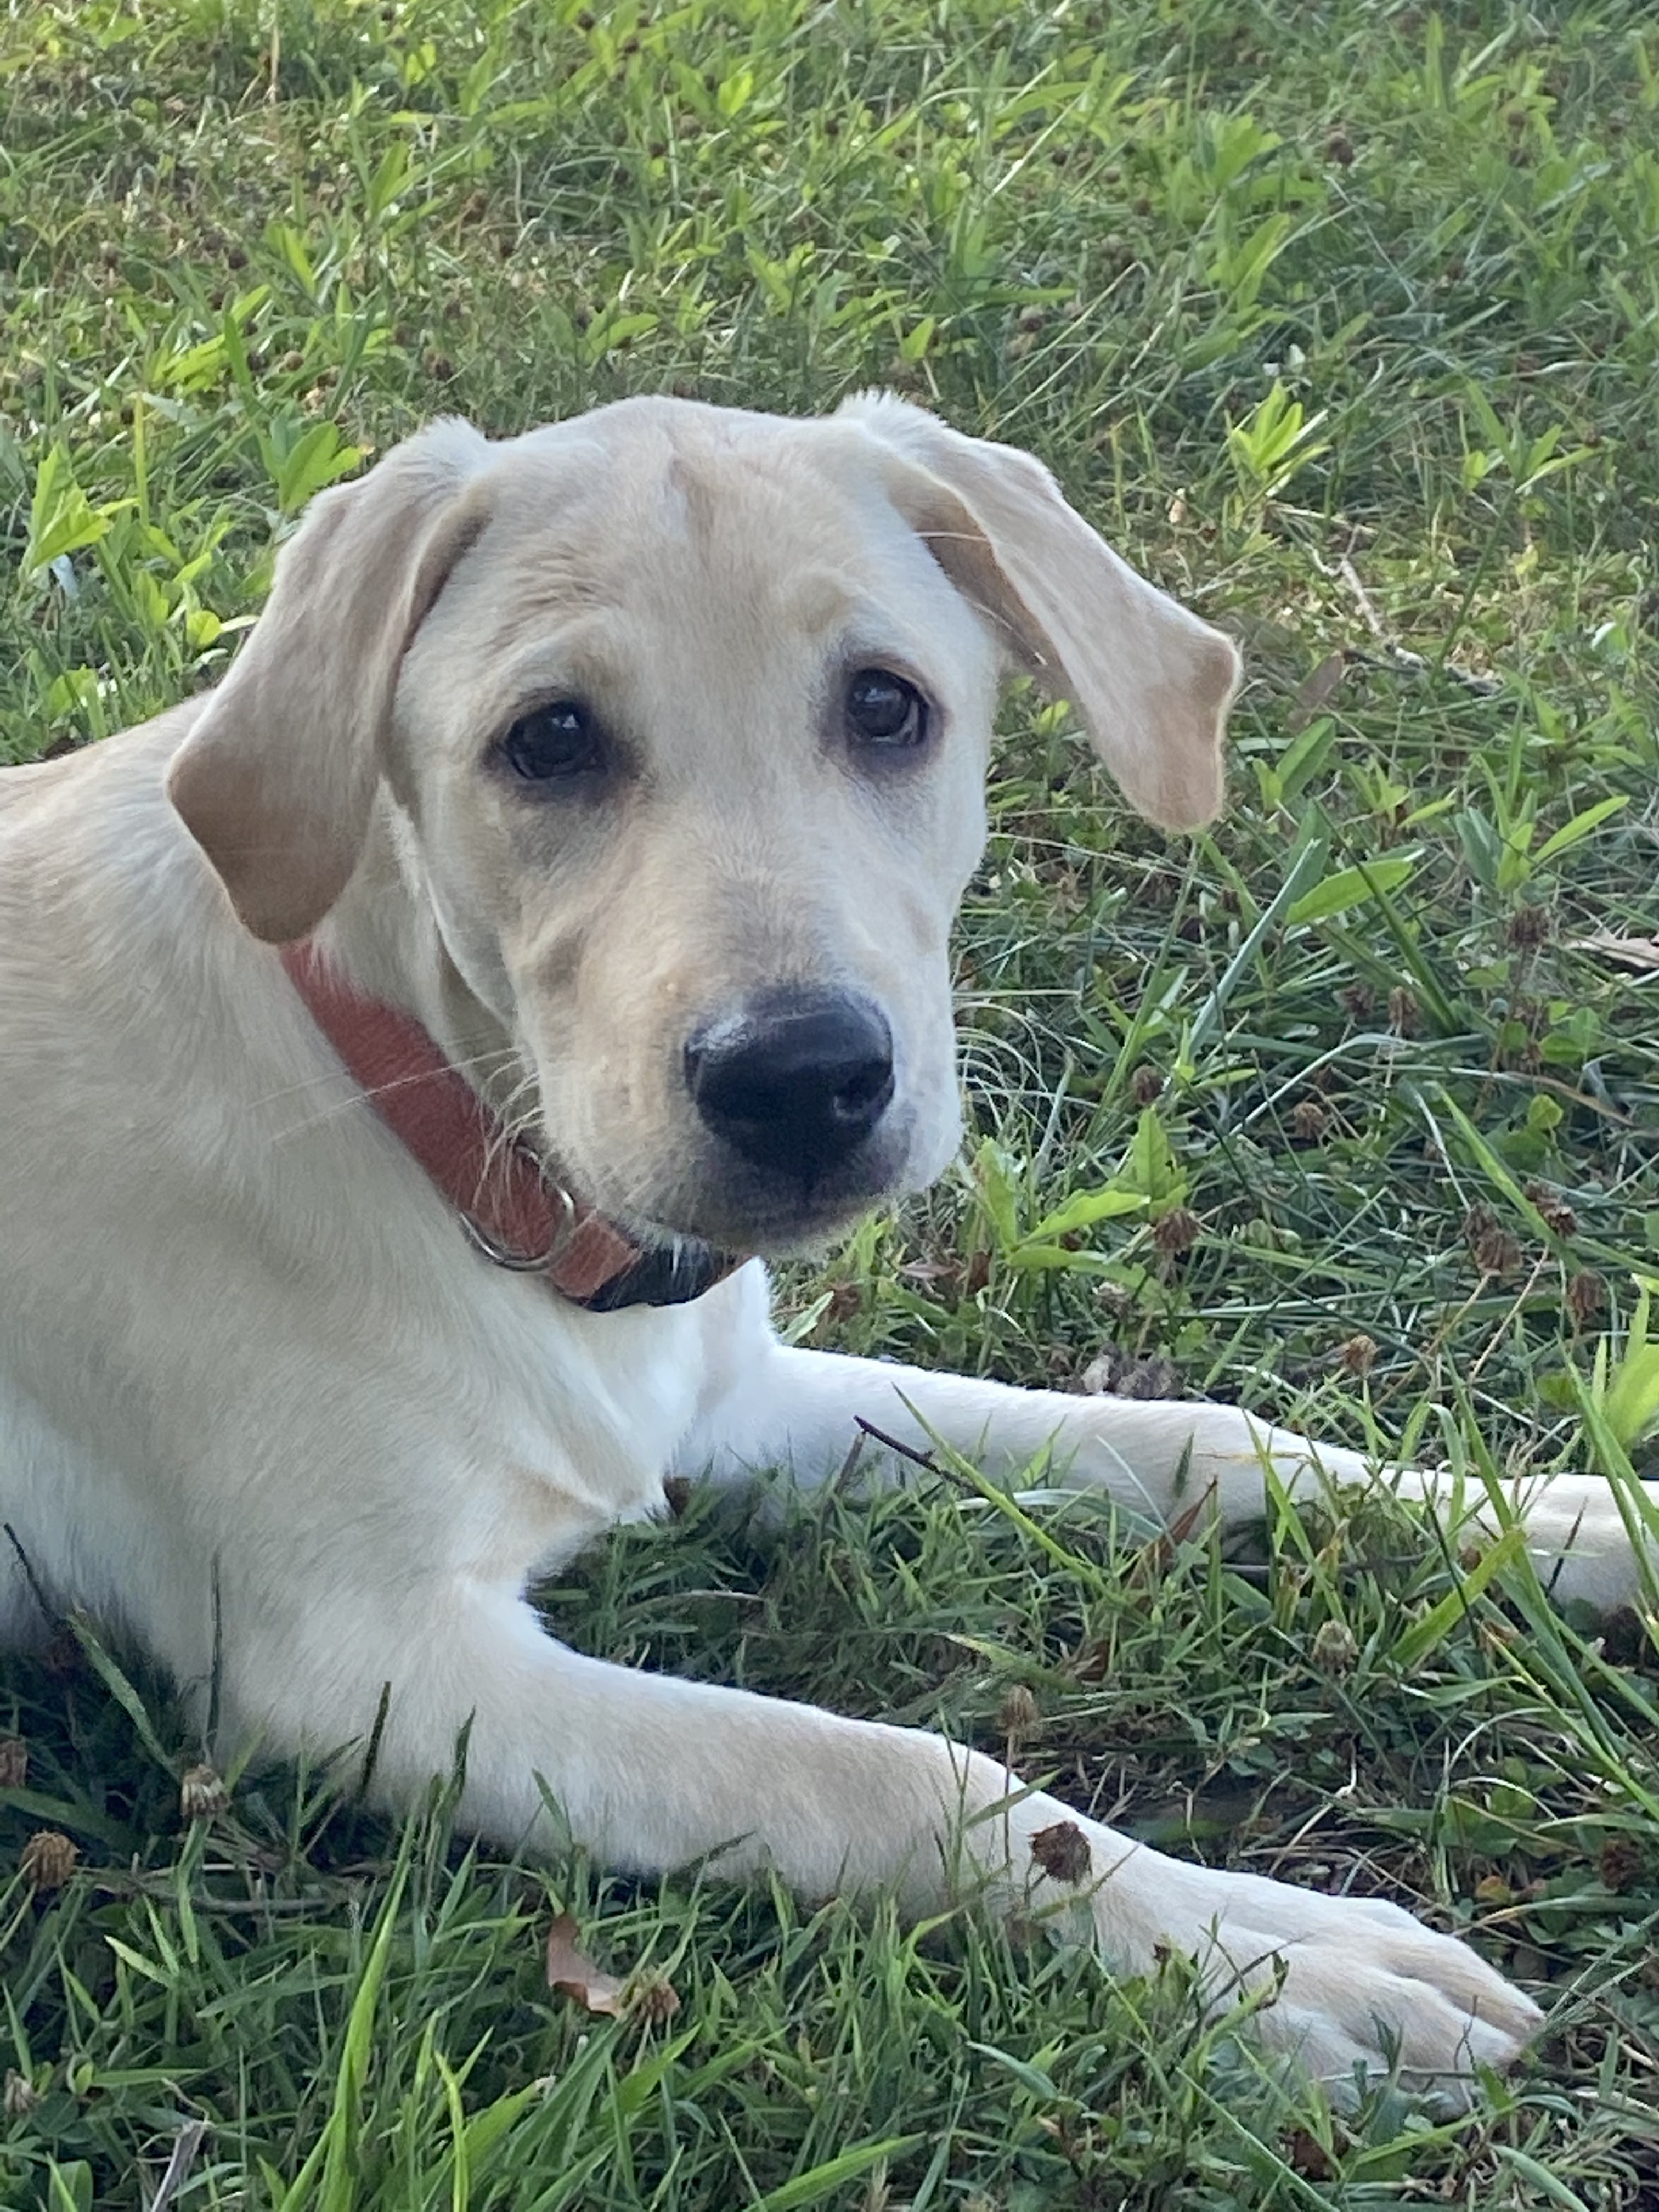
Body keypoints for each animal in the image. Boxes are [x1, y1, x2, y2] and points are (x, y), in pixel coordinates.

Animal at [3, 393, 1637, 2088]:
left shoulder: (732, 1402)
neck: (419, 1105)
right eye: (552, 740)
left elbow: (1196, 1435)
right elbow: (880, 1770)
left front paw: (1562, 1522)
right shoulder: (359, 1666)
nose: (800, 1082)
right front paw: (1263, 1955)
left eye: (885, 708)